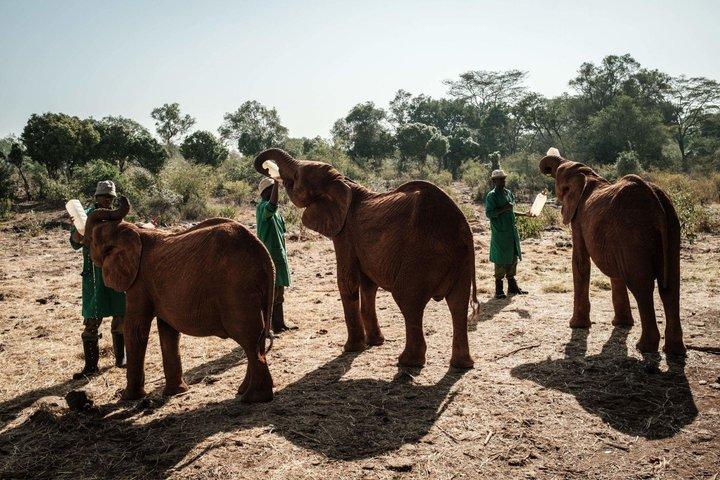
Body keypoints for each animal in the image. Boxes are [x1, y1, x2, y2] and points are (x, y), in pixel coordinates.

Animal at [82, 197, 275, 402]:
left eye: (92, 241)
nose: (121, 198)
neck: (133, 230)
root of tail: (263, 252)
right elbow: (168, 331)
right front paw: (176, 392)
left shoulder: (139, 282)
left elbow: (136, 330)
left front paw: (127, 398)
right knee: (258, 338)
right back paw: (244, 391)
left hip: (237, 287)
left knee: (248, 338)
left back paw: (252, 398)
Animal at [254, 148, 476, 369]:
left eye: (296, 178)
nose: (268, 171)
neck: (342, 182)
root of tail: (462, 225)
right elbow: (368, 286)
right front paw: (374, 343)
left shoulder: (345, 233)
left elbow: (347, 281)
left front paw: (351, 349)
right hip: (461, 258)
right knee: (458, 304)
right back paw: (462, 365)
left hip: (422, 256)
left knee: (408, 300)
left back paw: (408, 362)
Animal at [539, 149, 686, 355]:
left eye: (558, 175)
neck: (588, 175)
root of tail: (656, 202)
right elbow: (614, 272)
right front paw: (621, 324)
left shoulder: (578, 219)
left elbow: (580, 262)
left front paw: (576, 325)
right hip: (672, 227)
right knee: (671, 287)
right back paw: (675, 351)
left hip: (633, 232)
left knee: (642, 286)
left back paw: (644, 348)